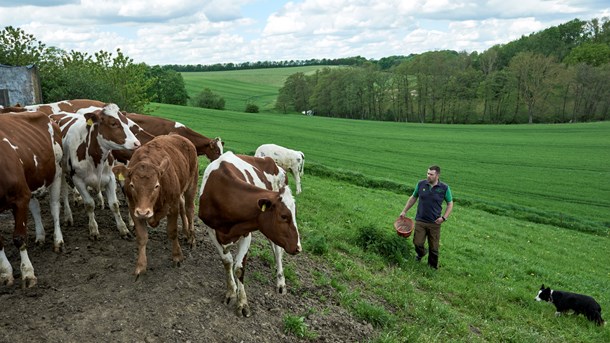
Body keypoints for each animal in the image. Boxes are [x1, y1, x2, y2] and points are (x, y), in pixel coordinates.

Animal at [0, 111, 63, 288]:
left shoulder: (21, 197)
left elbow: (19, 238)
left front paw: (28, 273)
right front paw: (5, 273)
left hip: (57, 173)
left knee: (54, 207)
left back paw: (58, 241)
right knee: (36, 209)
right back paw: (40, 236)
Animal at [55, 103, 140, 241]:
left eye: (126, 122)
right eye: (113, 123)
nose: (137, 143)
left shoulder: (110, 177)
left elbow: (114, 205)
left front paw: (123, 229)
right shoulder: (78, 180)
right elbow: (89, 204)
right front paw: (93, 229)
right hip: (61, 170)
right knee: (64, 192)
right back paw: (68, 216)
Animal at [111, 134, 197, 280]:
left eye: (156, 185)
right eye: (132, 185)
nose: (144, 212)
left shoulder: (172, 207)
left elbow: (172, 232)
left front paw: (177, 256)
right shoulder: (134, 210)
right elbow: (142, 237)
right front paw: (140, 266)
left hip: (191, 184)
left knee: (189, 209)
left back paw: (191, 238)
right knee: (183, 206)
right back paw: (186, 232)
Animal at [197, 152, 300, 318]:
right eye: (284, 216)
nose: (298, 247)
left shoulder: (246, 233)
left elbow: (239, 268)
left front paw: (242, 303)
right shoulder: (211, 230)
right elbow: (227, 261)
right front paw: (231, 292)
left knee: (277, 251)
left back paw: (280, 283)